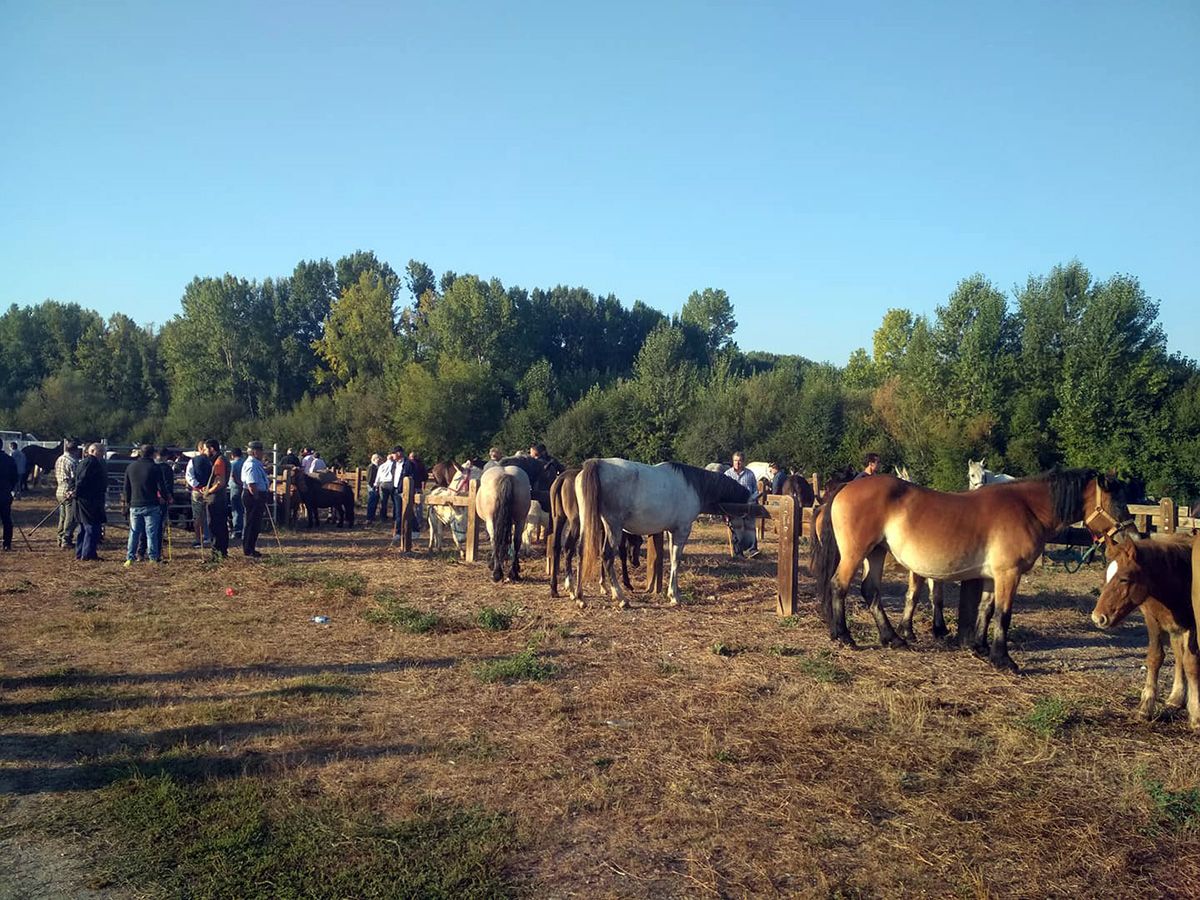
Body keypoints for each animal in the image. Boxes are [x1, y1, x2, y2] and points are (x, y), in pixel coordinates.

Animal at [576, 460, 753, 609]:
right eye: (747, 516)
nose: (746, 544)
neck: (694, 485)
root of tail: (599, 464)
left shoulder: (671, 530)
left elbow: (673, 558)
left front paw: (672, 592)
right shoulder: (682, 530)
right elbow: (676, 560)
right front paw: (674, 596)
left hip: (588, 522)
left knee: (581, 551)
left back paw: (579, 597)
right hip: (613, 527)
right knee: (607, 557)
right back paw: (621, 598)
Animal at [811, 472, 1128, 672]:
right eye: (1116, 501)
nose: (1129, 536)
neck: (1027, 508)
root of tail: (846, 487)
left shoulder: (992, 576)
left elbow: (985, 610)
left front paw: (979, 647)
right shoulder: (1009, 574)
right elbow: (1003, 614)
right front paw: (1003, 660)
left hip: (876, 552)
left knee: (870, 591)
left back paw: (892, 638)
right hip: (856, 553)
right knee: (839, 585)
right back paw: (844, 636)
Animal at [1094, 535, 1195, 734]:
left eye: (1124, 579)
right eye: (1106, 577)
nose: (1098, 617)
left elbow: (1191, 664)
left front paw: (1196, 714)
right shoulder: (1154, 620)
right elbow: (1155, 658)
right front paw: (1145, 708)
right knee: (1178, 655)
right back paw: (1176, 698)